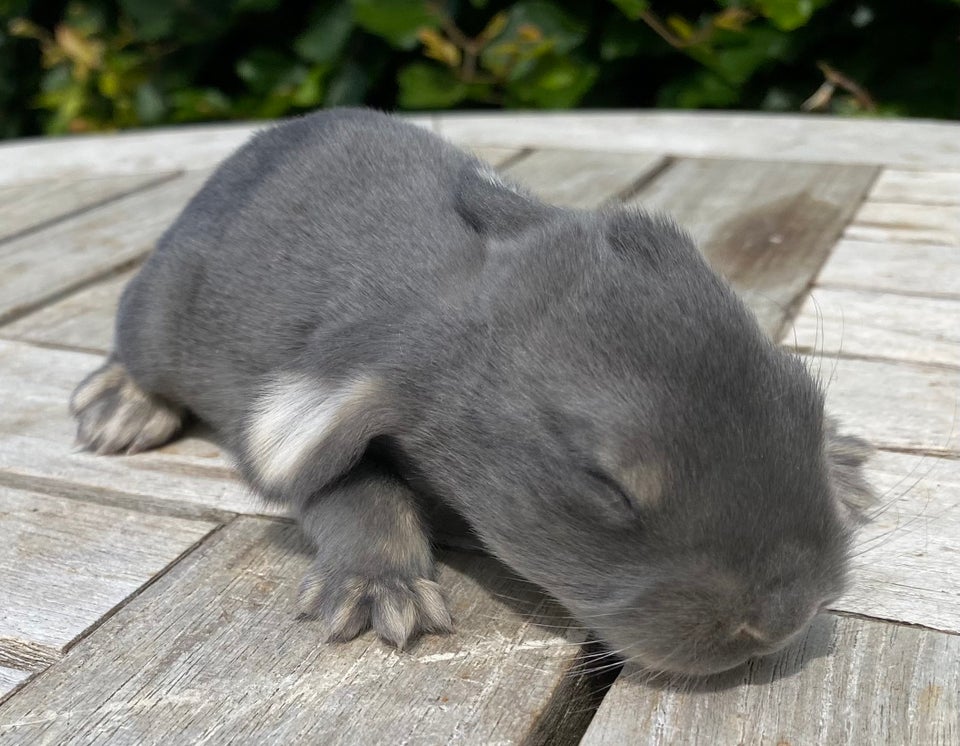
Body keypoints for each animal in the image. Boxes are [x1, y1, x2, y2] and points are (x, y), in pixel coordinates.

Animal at [71, 110, 872, 676]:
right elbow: (351, 493)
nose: (787, 616)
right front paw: (379, 589)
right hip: (154, 314)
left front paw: (843, 463)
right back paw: (120, 404)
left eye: (805, 404)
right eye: (607, 487)